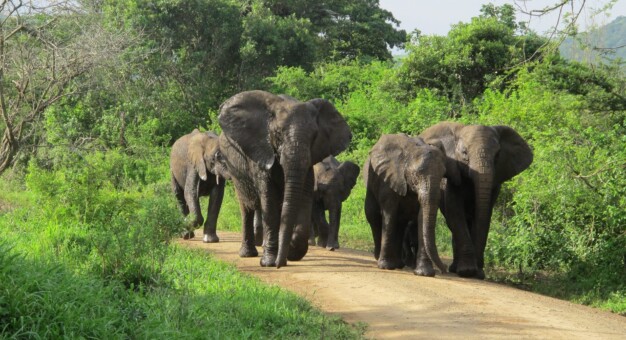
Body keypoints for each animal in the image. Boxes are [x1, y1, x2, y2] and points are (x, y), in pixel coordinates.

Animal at [216, 90, 352, 268]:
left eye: (314, 136)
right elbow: (269, 202)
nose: (279, 264)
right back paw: (248, 254)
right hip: (234, 167)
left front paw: (292, 252)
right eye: (278, 134)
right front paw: (268, 262)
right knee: (247, 207)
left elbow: (304, 200)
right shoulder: (261, 153)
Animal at [360, 133, 448, 276]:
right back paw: (380, 258)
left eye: (443, 174)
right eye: (417, 175)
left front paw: (424, 273)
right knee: (373, 216)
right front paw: (385, 267)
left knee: (401, 224)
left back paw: (399, 264)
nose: (444, 269)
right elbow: (389, 214)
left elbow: (421, 218)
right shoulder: (389, 180)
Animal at [416, 122, 528, 278]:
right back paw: (456, 268)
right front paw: (468, 271)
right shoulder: (453, 177)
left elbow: (485, 215)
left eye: (497, 155)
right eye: (464, 153)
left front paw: (477, 272)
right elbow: (455, 212)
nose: (480, 270)